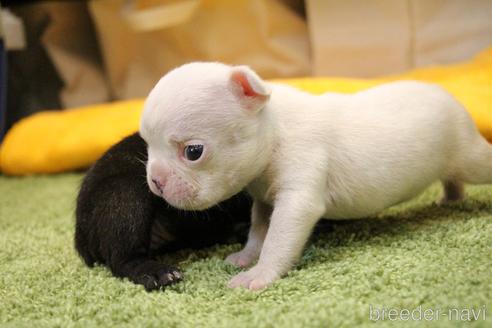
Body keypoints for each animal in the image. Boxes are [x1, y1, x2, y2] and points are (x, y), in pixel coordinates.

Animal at [139, 62, 492, 290]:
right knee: (452, 179)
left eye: (193, 152)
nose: (155, 181)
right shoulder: (264, 199)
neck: (274, 126)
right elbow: (259, 230)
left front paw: (260, 274)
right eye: (146, 144)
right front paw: (247, 256)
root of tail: (449, 96)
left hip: (468, 154)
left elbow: (277, 239)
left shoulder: (297, 198)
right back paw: (450, 198)